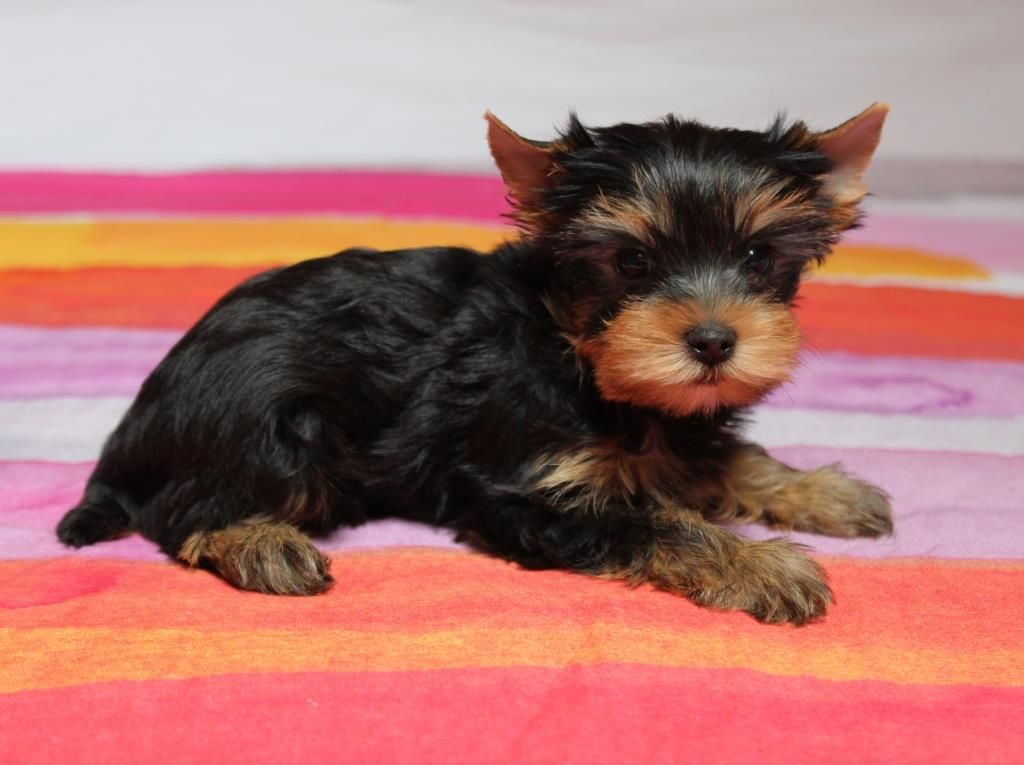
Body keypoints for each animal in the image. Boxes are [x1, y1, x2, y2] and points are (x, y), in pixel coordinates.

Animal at [57, 104, 893, 625]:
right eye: (629, 263)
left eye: (757, 257)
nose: (714, 340)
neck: (573, 349)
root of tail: (133, 429)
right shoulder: (519, 488)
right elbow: (655, 520)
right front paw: (759, 564)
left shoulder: (677, 420)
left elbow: (718, 456)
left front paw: (819, 490)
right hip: (273, 424)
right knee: (182, 511)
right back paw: (262, 543)